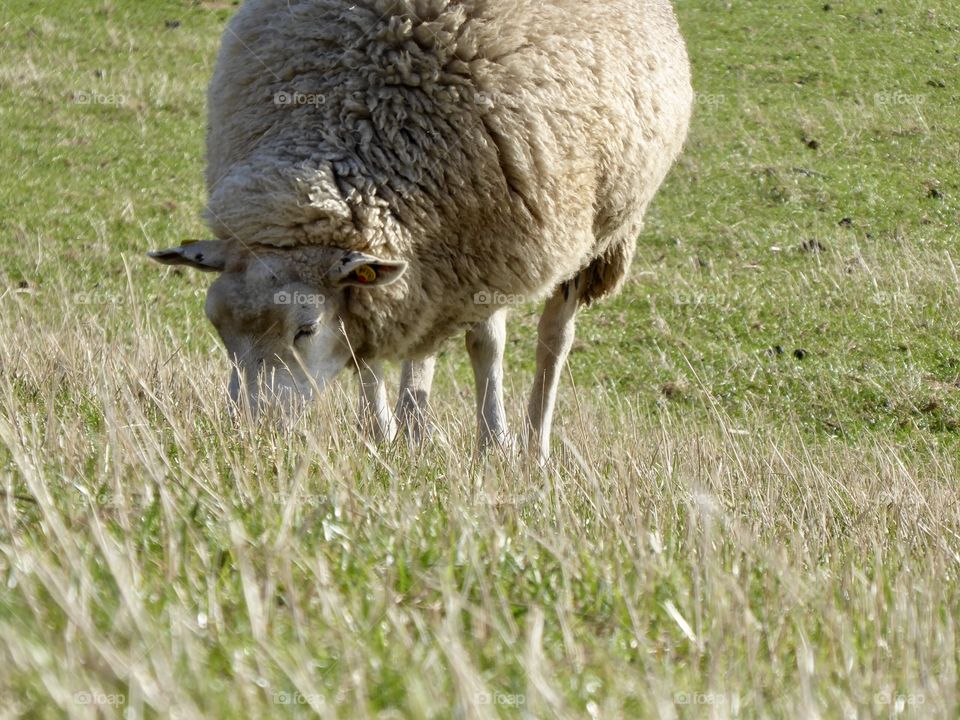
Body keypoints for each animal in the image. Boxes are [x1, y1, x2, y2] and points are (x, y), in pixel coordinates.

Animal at [149, 0, 693, 460]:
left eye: (306, 329)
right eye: (218, 326)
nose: (246, 433)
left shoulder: (495, 245)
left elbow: (486, 345)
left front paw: (493, 444)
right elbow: (368, 349)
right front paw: (382, 433)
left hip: (599, 231)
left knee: (553, 340)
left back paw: (533, 446)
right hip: (437, 266)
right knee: (422, 341)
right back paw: (414, 425)